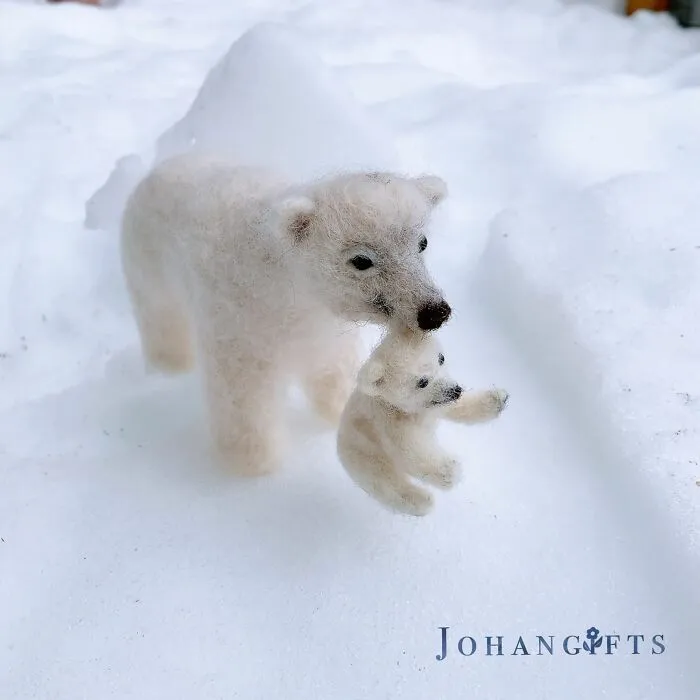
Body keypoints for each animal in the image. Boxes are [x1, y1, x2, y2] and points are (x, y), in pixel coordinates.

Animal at [120, 152, 452, 476]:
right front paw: (254, 462)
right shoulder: (238, 323)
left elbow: (333, 368)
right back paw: (170, 366)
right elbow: (243, 397)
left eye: (422, 243)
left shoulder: (323, 328)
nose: (434, 312)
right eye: (361, 260)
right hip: (147, 262)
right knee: (161, 315)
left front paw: (337, 409)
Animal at [337, 325, 509, 516]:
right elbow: (412, 451)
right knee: (386, 481)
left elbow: (457, 407)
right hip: (365, 454)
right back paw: (422, 501)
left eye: (441, 358)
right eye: (422, 382)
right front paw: (451, 471)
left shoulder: (435, 404)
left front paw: (498, 399)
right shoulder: (388, 421)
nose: (456, 390)